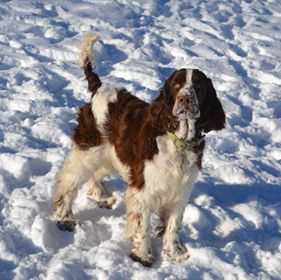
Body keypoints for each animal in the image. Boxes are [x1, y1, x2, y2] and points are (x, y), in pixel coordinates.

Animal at [50, 34, 225, 266]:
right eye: (177, 85)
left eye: (198, 87)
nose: (185, 99)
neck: (178, 141)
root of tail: (99, 87)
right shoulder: (144, 188)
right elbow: (143, 224)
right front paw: (143, 255)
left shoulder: (180, 189)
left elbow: (173, 224)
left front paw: (174, 252)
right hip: (88, 149)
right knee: (68, 181)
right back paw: (65, 217)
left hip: (112, 154)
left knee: (96, 174)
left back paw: (102, 196)